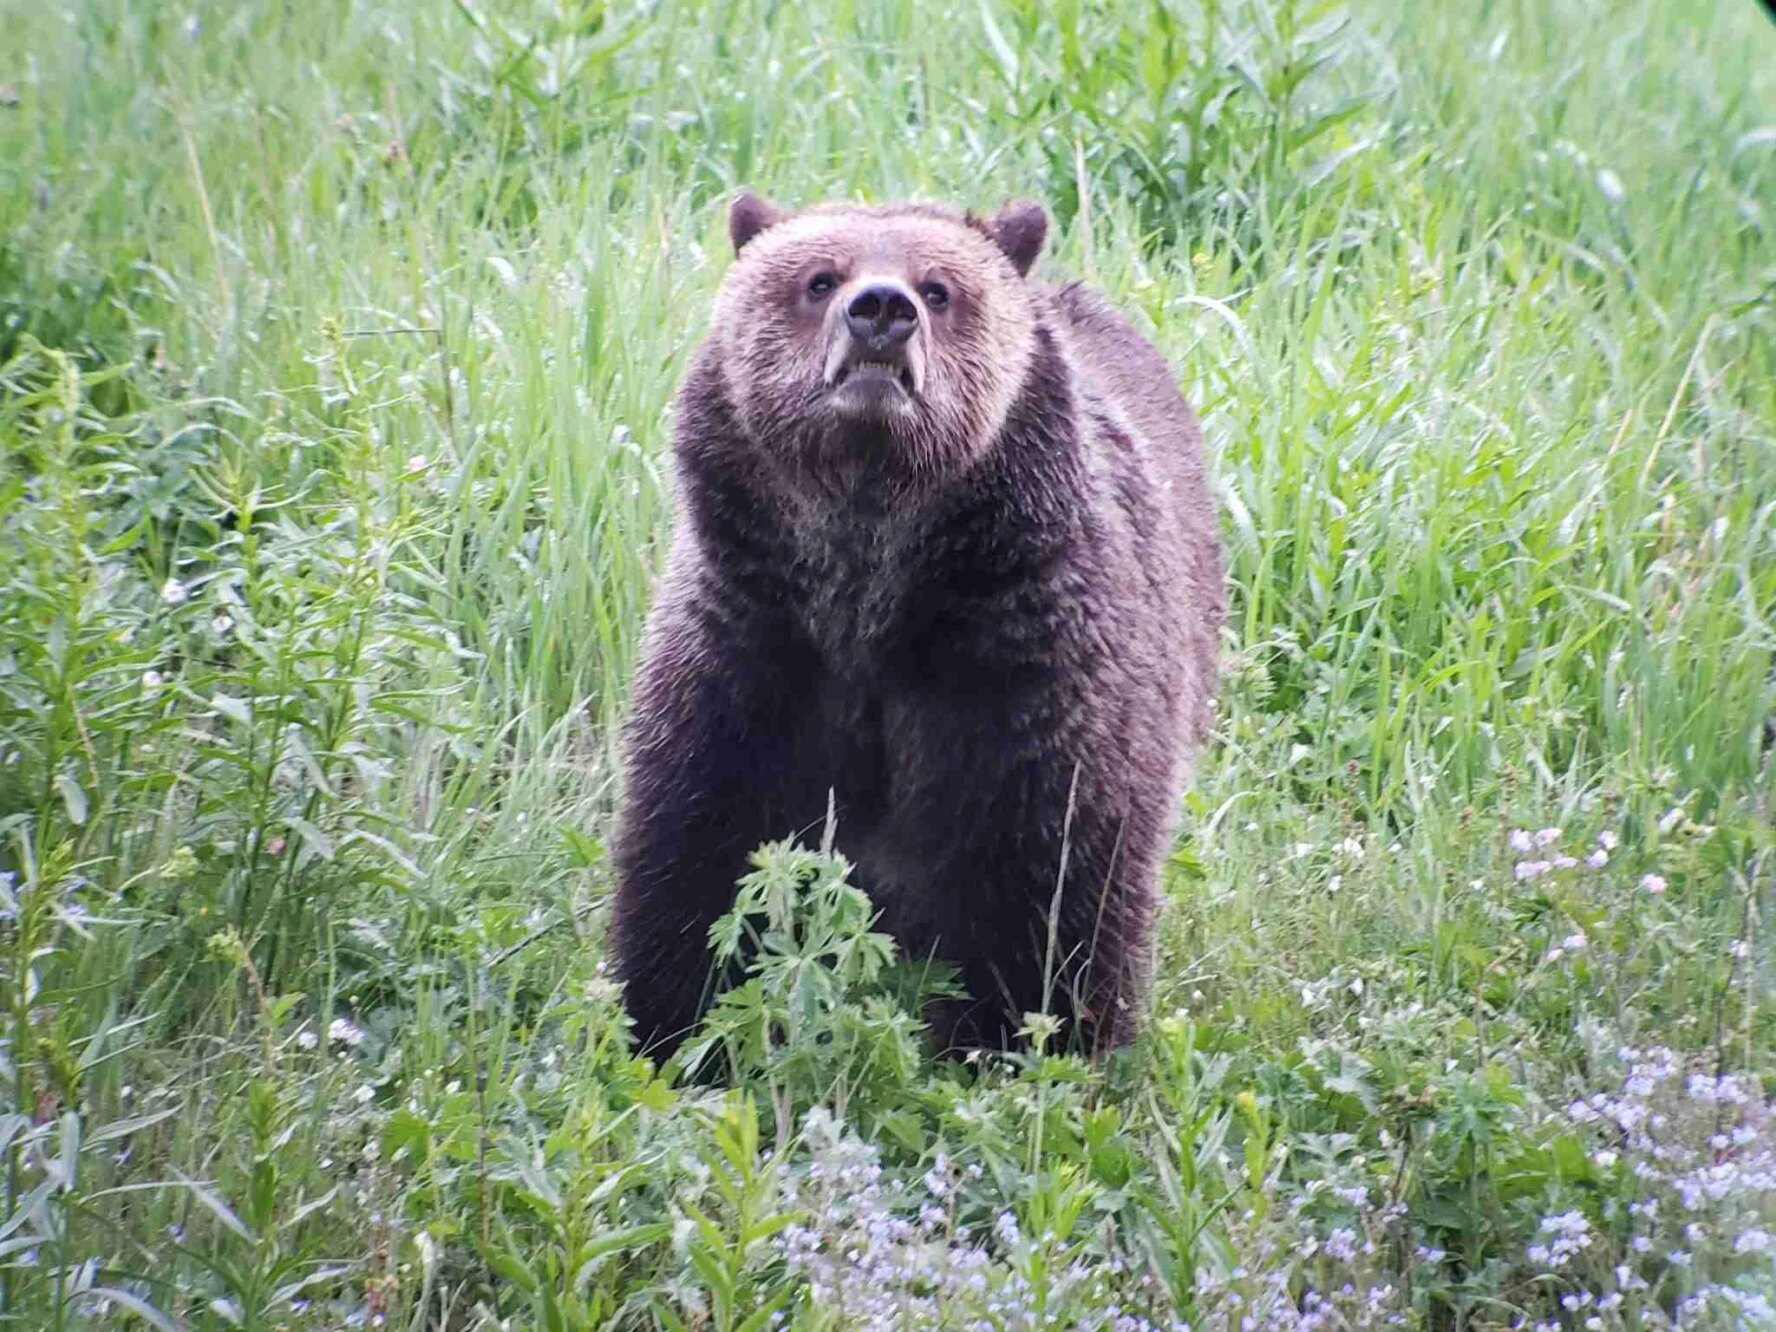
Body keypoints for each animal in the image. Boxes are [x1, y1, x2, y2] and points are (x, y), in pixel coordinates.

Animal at [611, 191, 1223, 1059]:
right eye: (819, 278)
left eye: (938, 289)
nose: (880, 311)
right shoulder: (752, 646)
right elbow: (699, 844)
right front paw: (673, 1025)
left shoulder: (1024, 663)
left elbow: (1053, 873)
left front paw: (1041, 1035)